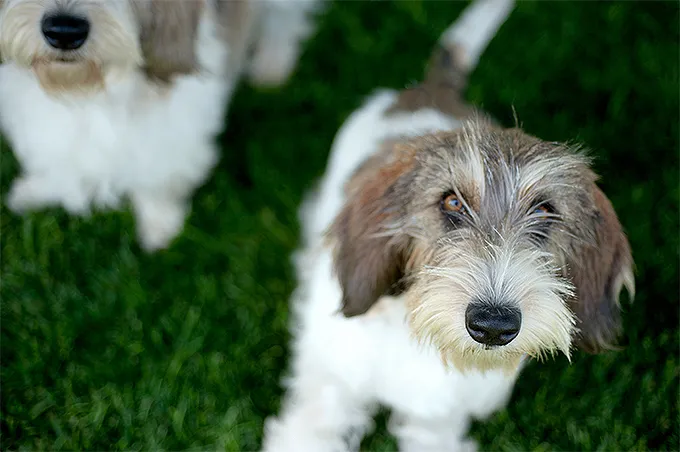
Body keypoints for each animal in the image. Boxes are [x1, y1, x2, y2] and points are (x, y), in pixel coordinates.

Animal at [0, 0, 324, 251]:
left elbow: (159, 178)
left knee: (285, 20)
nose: (64, 31)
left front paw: (160, 225)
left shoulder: (174, 131)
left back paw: (272, 66)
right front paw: (35, 191)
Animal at [262, 0, 636, 450]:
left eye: (545, 212)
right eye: (452, 202)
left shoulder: (437, 418)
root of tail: (430, 90)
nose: (493, 326)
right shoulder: (330, 388)